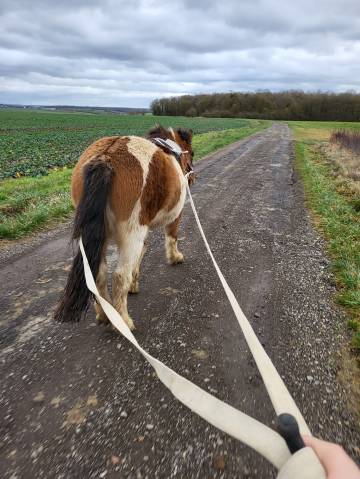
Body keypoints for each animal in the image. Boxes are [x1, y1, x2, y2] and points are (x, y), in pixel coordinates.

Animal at [54, 125, 194, 332]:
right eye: (192, 153)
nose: (192, 177)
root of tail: (105, 157)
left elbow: (142, 253)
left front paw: (134, 284)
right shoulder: (173, 217)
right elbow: (172, 237)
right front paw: (175, 257)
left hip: (98, 235)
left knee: (99, 275)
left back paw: (105, 315)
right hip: (130, 234)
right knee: (120, 276)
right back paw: (123, 321)